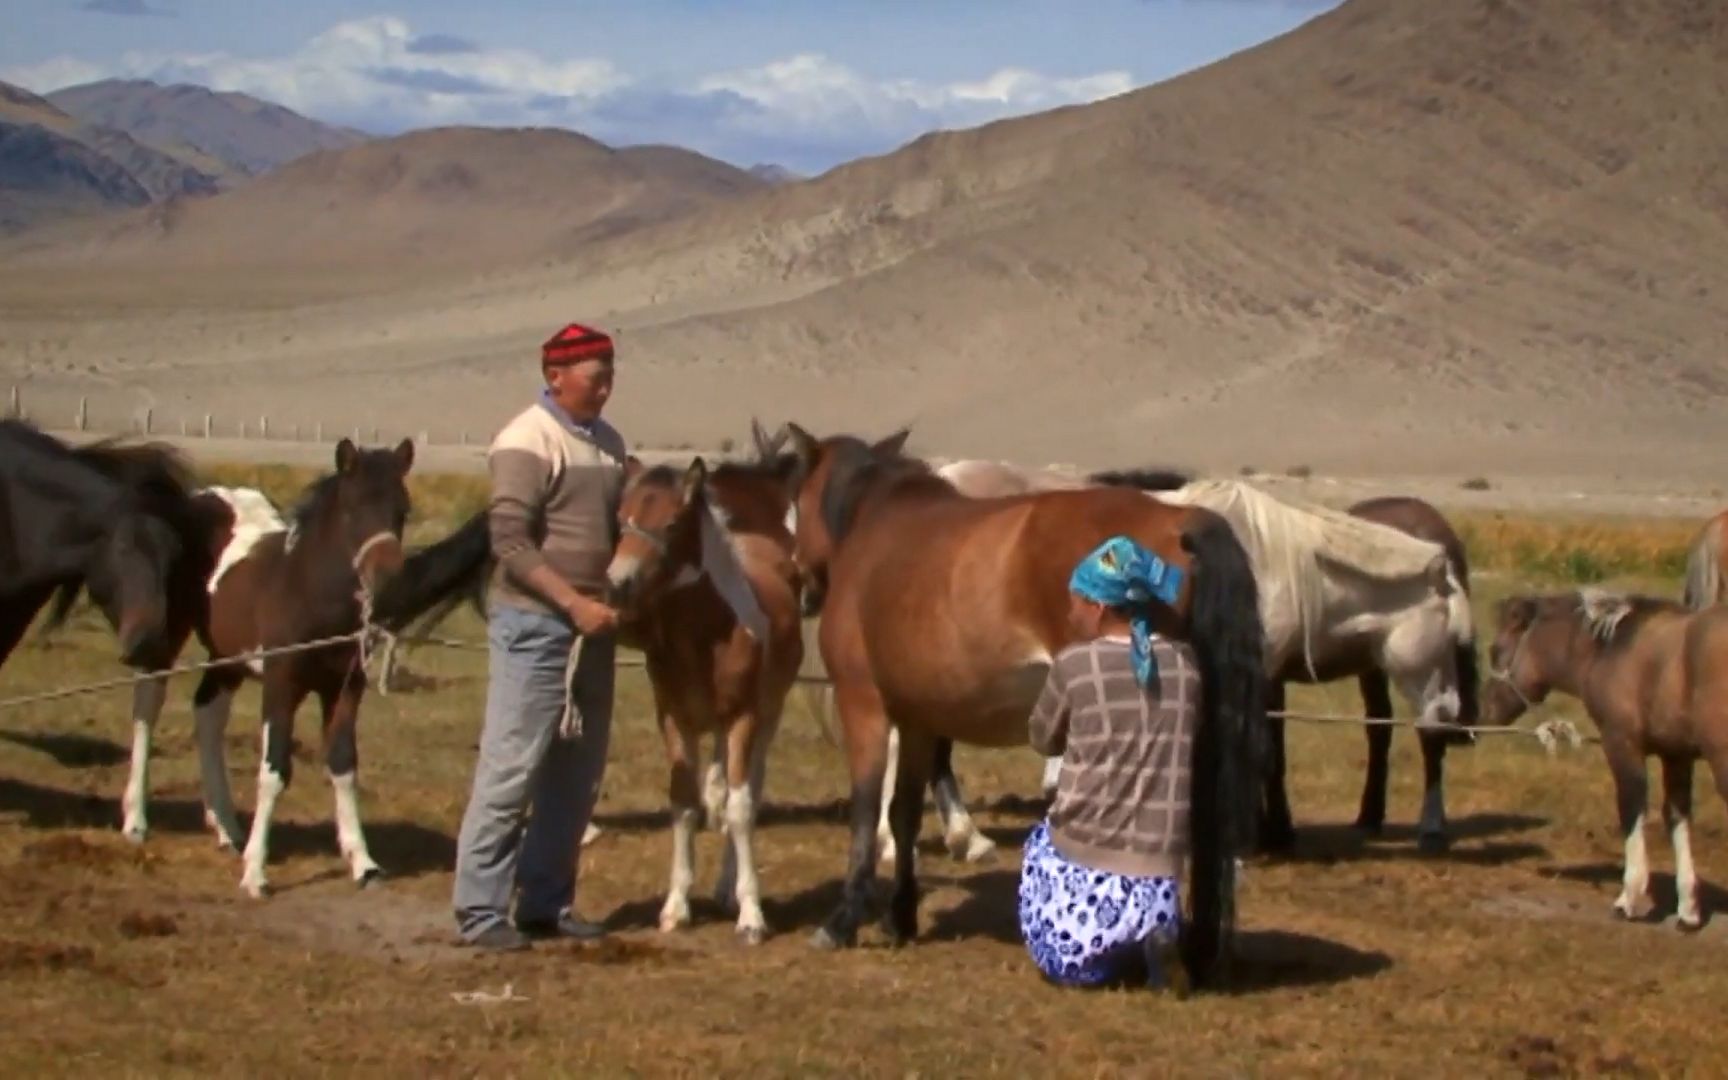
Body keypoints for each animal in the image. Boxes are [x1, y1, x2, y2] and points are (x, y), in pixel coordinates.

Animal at [604, 442, 805, 940]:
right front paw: (676, 907)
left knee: (747, 790)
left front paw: (751, 915)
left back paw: (730, 889)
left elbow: (740, 808)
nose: (616, 585)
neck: (708, 630)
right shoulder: (675, 719)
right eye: (621, 518)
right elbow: (685, 805)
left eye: (672, 524)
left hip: (766, 717)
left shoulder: (743, 719)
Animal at [777, 421, 1264, 988]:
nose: (799, 583)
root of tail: (1176, 517)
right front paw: (900, 916)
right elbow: (903, 814)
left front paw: (844, 919)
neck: (873, 524)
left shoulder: (865, 707)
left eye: (794, 500)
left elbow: (863, 812)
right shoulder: (919, 720)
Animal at [1479, 590, 1728, 926]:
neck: (1611, 650)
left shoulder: (1621, 745)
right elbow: (1677, 818)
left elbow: (1632, 810)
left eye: (1496, 650)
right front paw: (1688, 911)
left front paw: (1629, 900)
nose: (1484, 710)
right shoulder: (1676, 756)